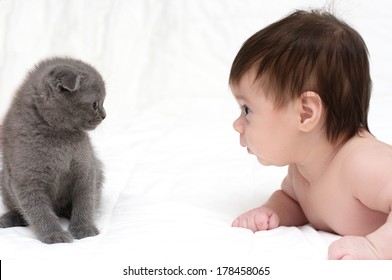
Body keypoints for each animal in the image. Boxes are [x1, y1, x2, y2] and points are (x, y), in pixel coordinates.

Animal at [0, 56, 105, 243]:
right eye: (95, 104)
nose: (104, 115)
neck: (59, 137)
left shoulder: (86, 169)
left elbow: (85, 200)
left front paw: (84, 228)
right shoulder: (26, 180)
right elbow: (38, 211)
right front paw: (54, 235)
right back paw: (9, 218)